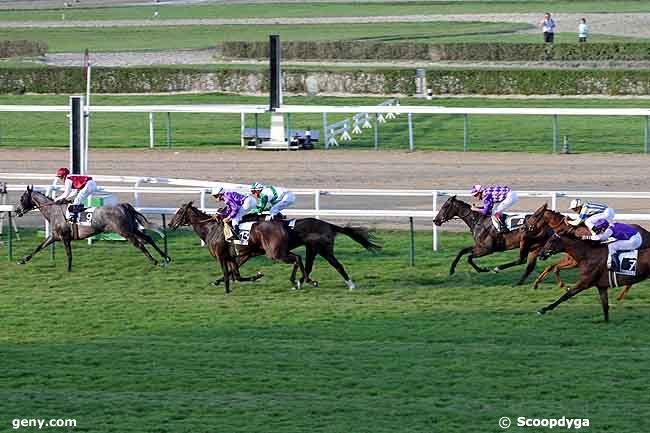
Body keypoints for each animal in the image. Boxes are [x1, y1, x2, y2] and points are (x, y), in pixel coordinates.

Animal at [15, 185, 172, 270]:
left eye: (22, 198)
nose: (17, 211)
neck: (54, 212)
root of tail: (123, 205)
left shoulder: (65, 237)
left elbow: (68, 253)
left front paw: (69, 269)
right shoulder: (54, 236)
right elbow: (39, 247)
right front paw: (22, 260)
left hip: (124, 231)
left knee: (139, 244)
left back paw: (155, 261)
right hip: (132, 228)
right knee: (148, 238)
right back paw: (166, 258)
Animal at [168, 202, 380, 294]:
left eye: (179, 212)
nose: (170, 224)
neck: (211, 229)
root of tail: (328, 224)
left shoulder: (224, 256)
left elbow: (231, 274)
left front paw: (227, 287)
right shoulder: (240, 255)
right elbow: (235, 273)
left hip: (280, 253)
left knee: (304, 261)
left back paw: (302, 282)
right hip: (316, 249)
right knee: (315, 265)